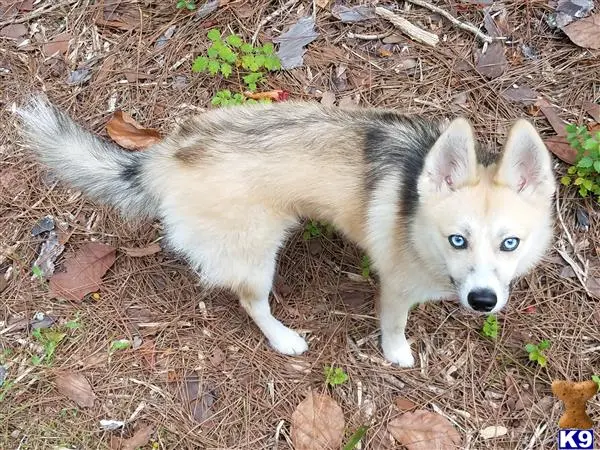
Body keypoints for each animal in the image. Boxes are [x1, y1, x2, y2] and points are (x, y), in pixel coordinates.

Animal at [16, 96, 556, 368]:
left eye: (510, 243)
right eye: (456, 240)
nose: (483, 301)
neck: (415, 213)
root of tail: (161, 157)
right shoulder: (397, 286)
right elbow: (394, 325)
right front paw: (397, 353)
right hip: (257, 257)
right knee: (250, 302)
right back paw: (283, 338)